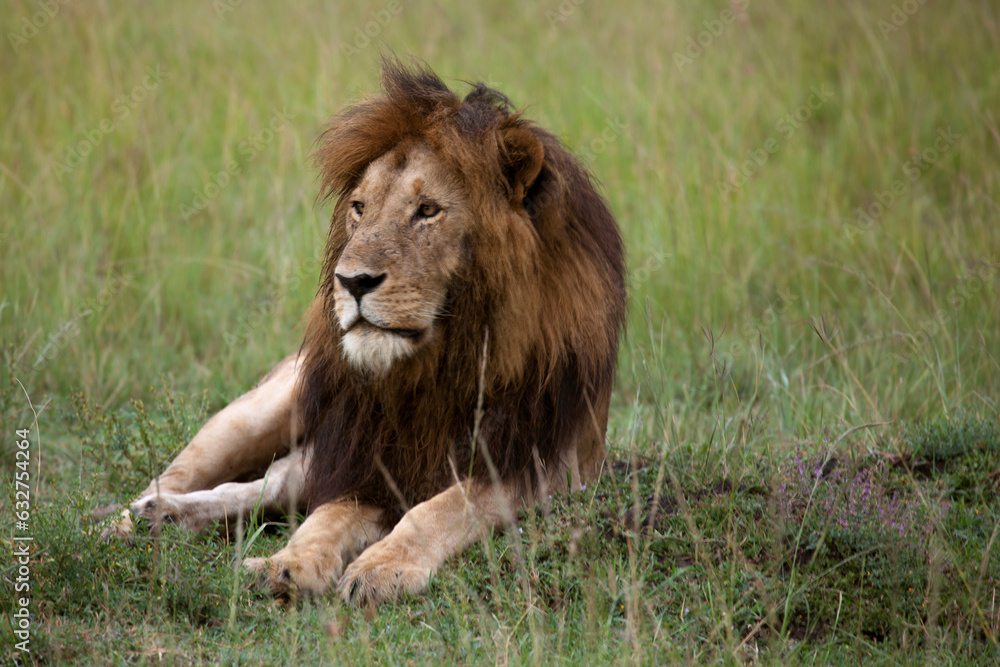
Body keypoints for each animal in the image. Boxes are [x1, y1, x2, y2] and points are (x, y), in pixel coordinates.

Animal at [105, 59, 626, 606]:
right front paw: (287, 566)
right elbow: (324, 515)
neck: (444, 363)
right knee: (210, 476)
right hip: (264, 408)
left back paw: (165, 518)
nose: (351, 281)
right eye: (359, 207)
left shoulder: (540, 464)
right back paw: (136, 521)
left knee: (274, 484)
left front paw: (382, 567)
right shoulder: (367, 460)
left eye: (428, 210)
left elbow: (441, 508)